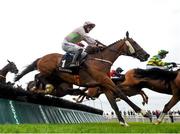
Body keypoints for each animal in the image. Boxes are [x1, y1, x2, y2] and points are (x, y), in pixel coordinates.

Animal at [14, 31, 150, 125]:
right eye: (134, 43)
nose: (146, 55)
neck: (100, 61)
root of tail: (41, 58)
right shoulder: (105, 81)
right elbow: (121, 94)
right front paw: (144, 112)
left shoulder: (103, 85)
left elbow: (113, 103)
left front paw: (123, 122)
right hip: (48, 72)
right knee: (37, 77)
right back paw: (40, 88)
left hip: (59, 84)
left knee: (42, 83)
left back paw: (41, 89)